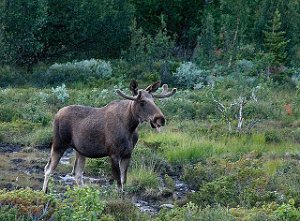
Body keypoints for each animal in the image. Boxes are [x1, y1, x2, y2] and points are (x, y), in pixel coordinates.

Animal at [42, 80, 176, 193]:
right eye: (142, 102)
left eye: (154, 100)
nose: (160, 119)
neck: (130, 127)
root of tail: (57, 114)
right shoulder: (113, 153)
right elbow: (118, 184)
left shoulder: (127, 154)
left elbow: (123, 181)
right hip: (59, 144)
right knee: (48, 169)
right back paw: (44, 192)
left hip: (80, 151)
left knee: (77, 174)